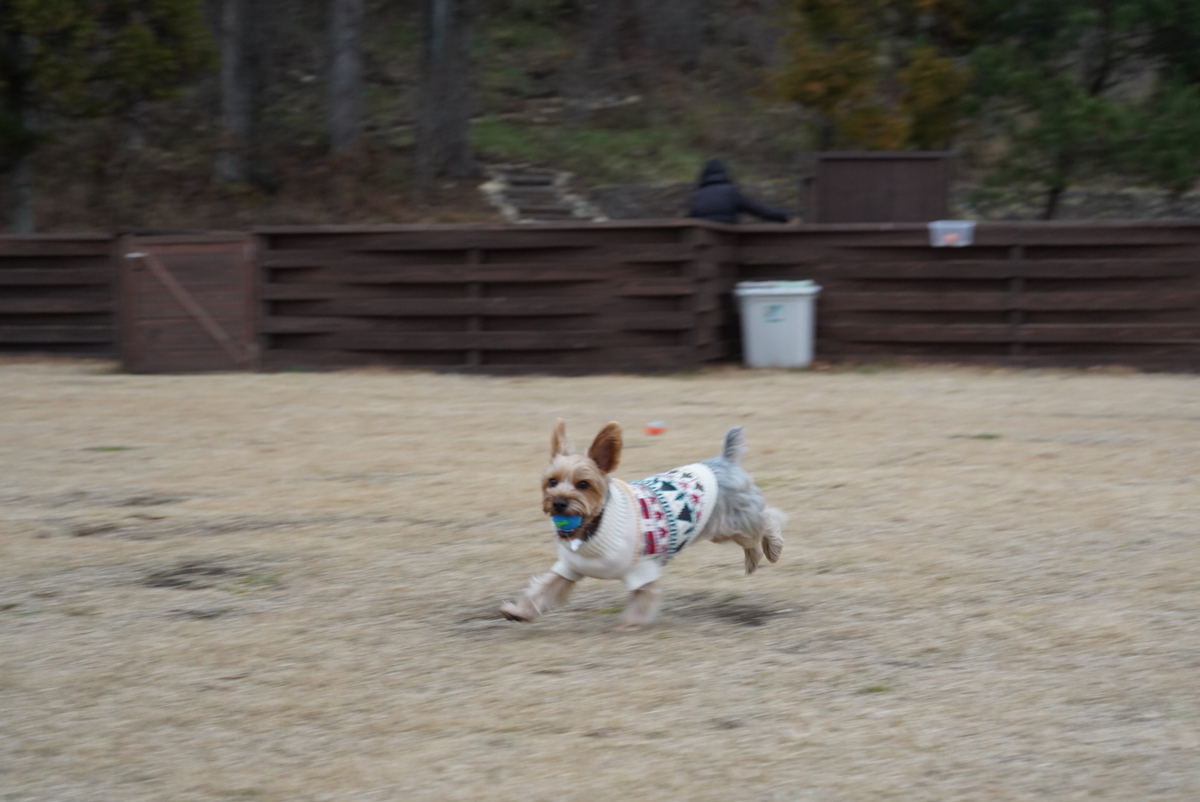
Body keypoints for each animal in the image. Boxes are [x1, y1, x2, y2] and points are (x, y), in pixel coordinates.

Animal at [499, 417, 787, 629]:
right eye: (552, 481)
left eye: (583, 484)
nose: (558, 503)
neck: (594, 530)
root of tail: (723, 459)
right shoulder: (569, 568)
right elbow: (544, 589)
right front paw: (519, 611)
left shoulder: (643, 571)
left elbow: (643, 600)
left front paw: (625, 625)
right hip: (724, 529)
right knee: (753, 536)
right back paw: (753, 560)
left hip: (734, 521)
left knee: (768, 519)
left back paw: (770, 549)